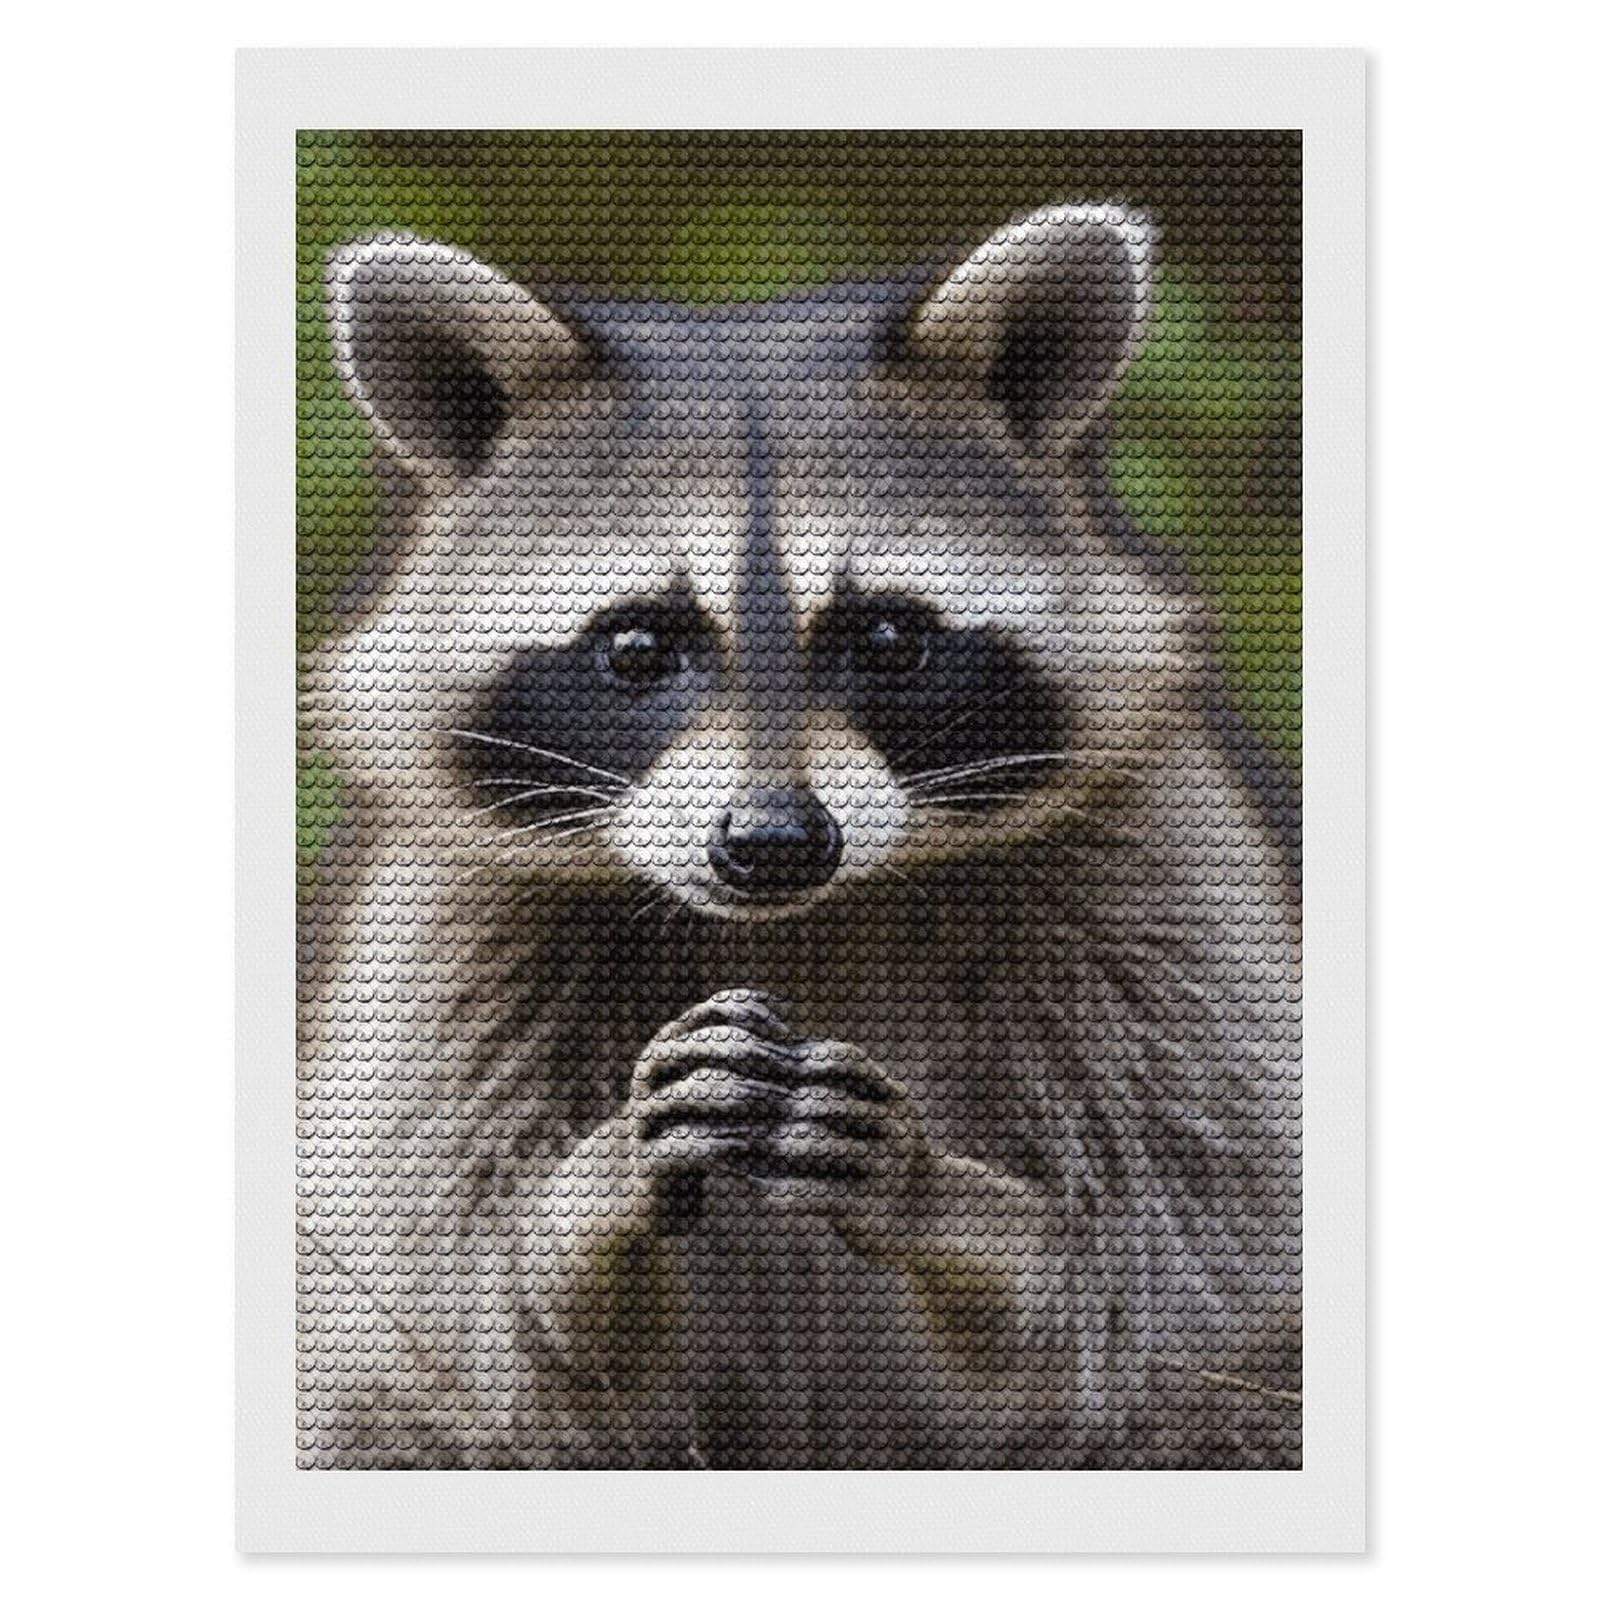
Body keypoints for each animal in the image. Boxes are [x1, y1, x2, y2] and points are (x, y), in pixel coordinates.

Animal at [298, 203, 1302, 1470]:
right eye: (637, 646)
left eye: (887, 638)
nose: (773, 842)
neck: (802, 919)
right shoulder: (452, 925)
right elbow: (441, 1295)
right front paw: (587, 1200)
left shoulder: (1149, 869)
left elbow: (1203, 1252)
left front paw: (956, 1206)